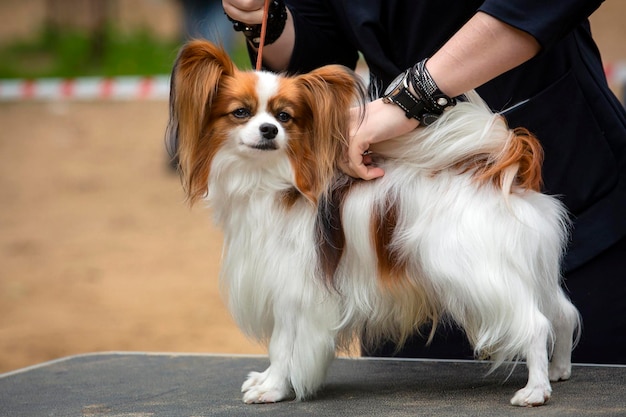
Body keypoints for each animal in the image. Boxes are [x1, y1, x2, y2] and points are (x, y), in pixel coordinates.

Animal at [166, 41, 580, 406]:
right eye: (240, 113)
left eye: (285, 117)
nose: (269, 130)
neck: (268, 181)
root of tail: (503, 174)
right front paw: (267, 380)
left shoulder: (293, 292)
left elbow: (283, 346)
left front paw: (274, 388)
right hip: (529, 272)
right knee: (561, 314)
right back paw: (558, 371)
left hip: (480, 275)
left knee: (535, 324)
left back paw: (535, 391)